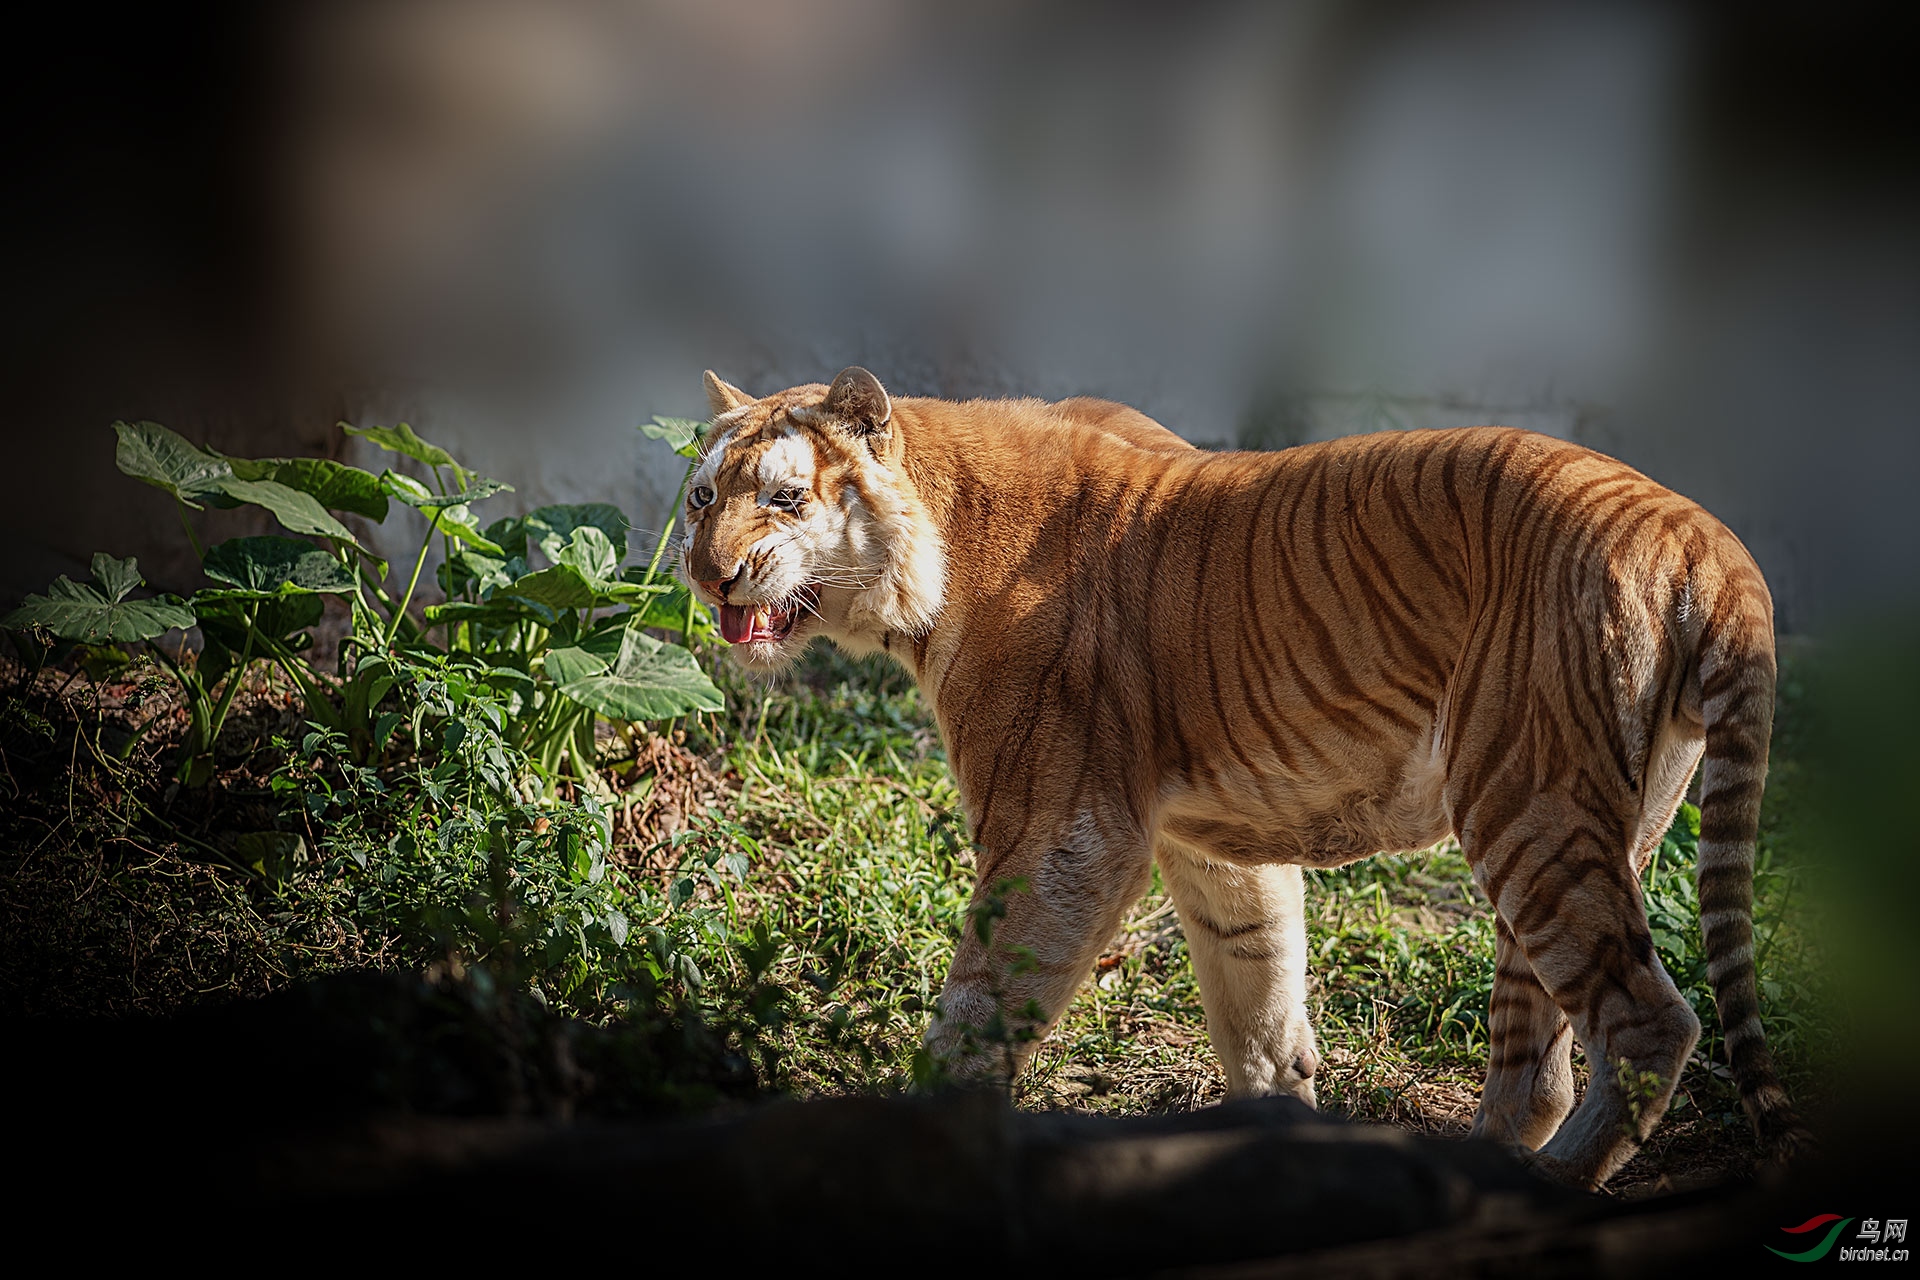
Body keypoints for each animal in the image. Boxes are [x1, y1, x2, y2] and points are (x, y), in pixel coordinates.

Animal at [683, 364, 1804, 1189]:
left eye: (784, 496)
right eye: (702, 497)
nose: (704, 570)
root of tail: (1711, 543)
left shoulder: (1058, 832)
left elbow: (979, 1005)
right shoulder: (1212, 843)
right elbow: (1257, 1004)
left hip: (1533, 806)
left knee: (1650, 1026)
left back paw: (1547, 1192)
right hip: (1583, 824)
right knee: (1539, 1068)